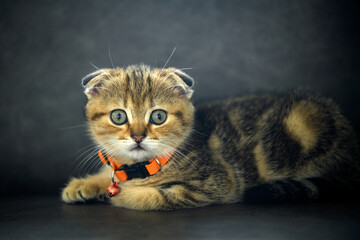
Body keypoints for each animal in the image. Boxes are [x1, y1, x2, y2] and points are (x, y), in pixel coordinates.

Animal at [62, 64, 360, 209]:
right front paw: (85, 185)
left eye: (158, 116)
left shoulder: (214, 184)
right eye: (118, 116)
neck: (140, 167)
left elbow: (147, 197)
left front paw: (121, 194)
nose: (137, 137)